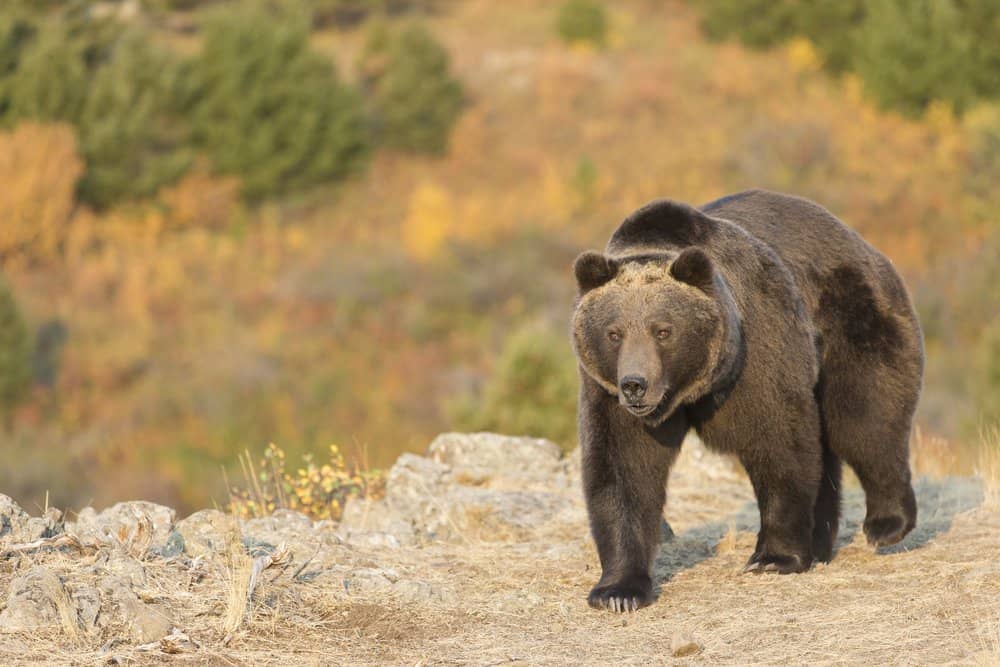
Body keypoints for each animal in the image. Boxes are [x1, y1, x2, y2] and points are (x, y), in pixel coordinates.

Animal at [572, 190, 920, 612]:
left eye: (663, 330)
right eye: (614, 332)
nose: (635, 385)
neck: (695, 386)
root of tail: (859, 241)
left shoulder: (759, 347)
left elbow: (778, 441)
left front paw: (772, 557)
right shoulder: (607, 394)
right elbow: (623, 469)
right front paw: (618, 591)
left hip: (851, 320)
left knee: (865, 418)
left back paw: (887, 524)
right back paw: (821, 542)